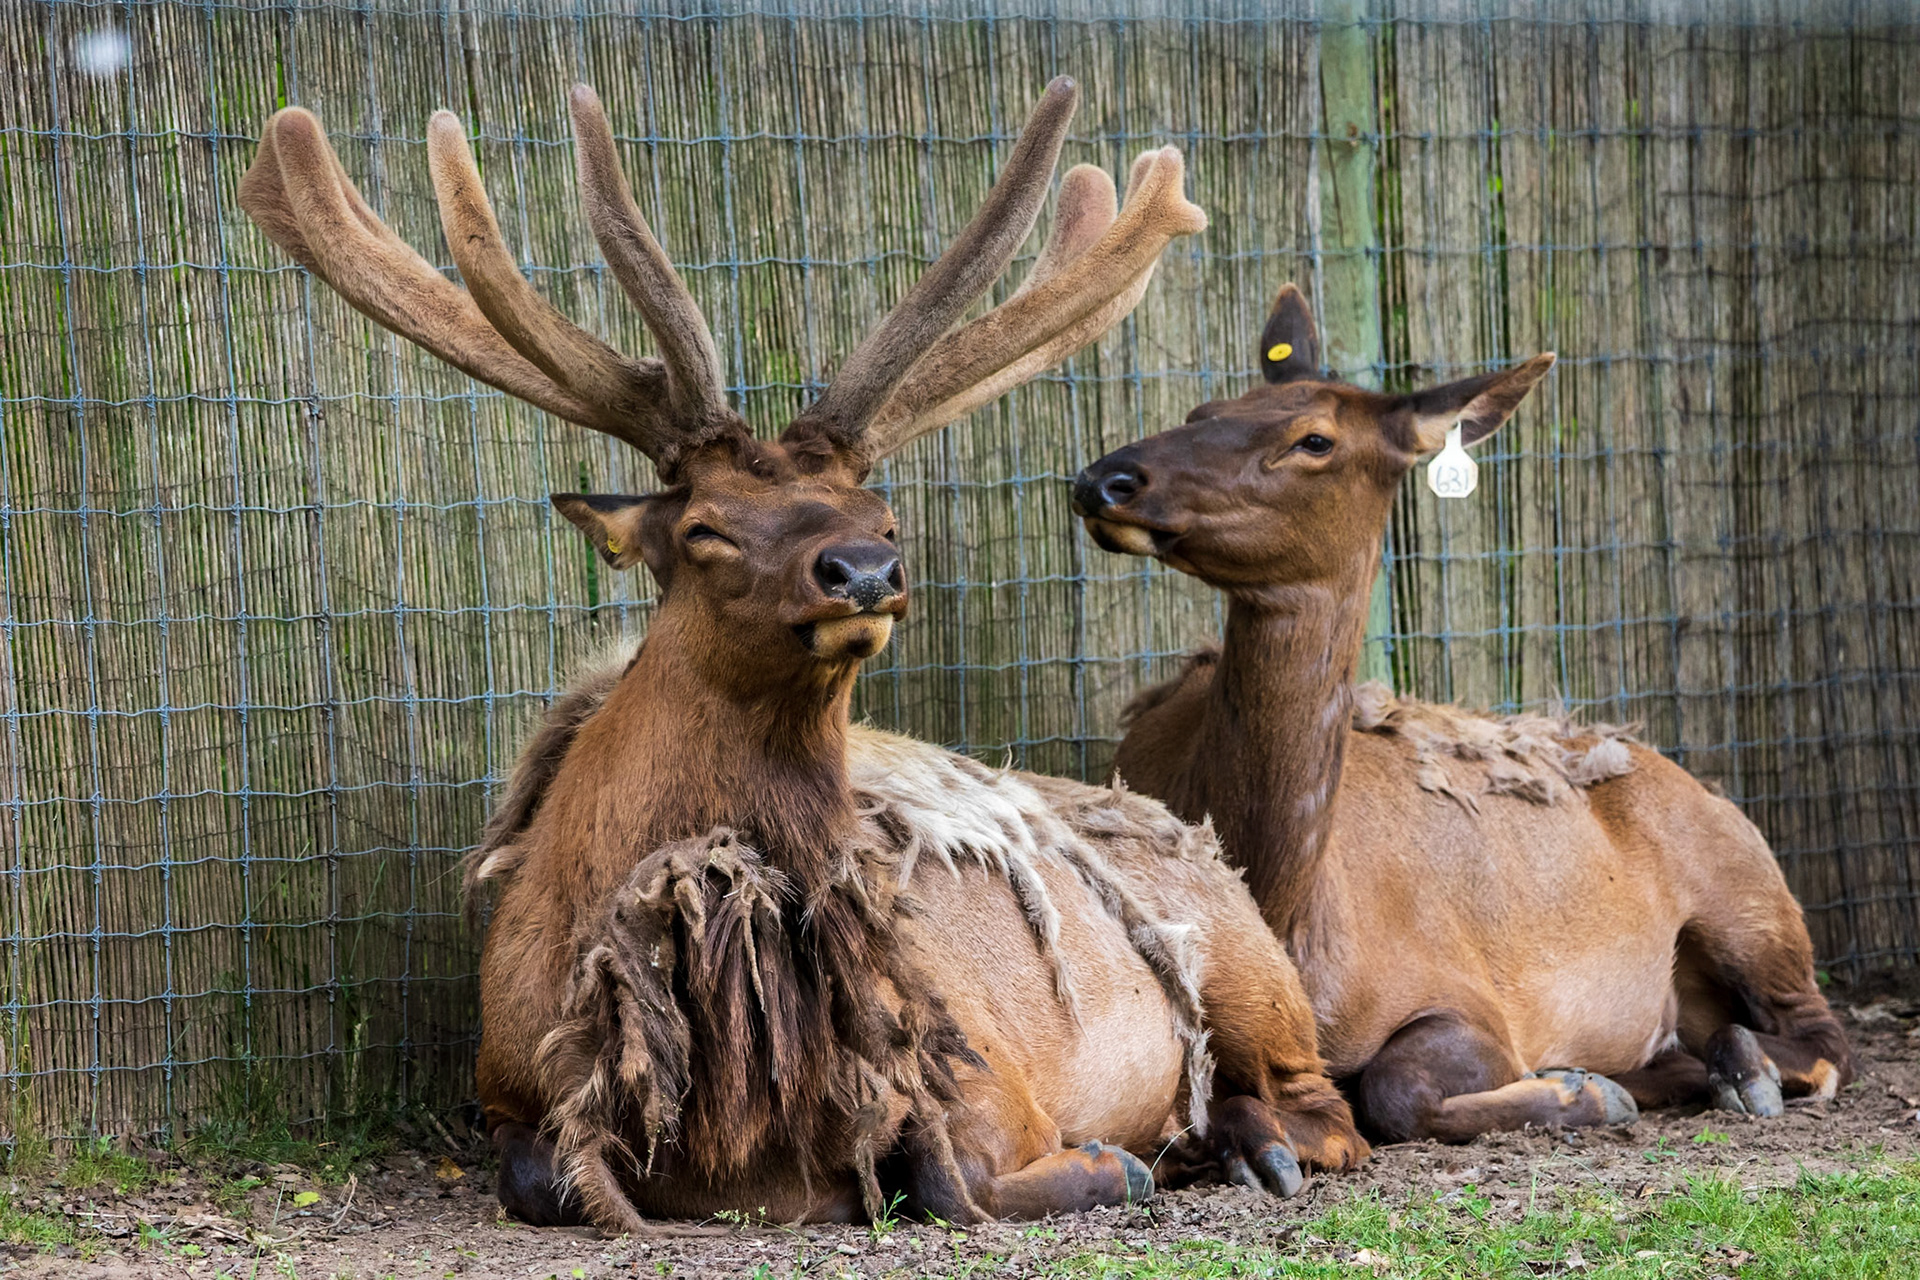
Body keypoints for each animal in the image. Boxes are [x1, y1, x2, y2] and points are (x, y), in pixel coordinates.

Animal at [239, 82, 1366, 1233]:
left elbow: (954, 1177)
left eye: (887, 517)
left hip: (1251, 967)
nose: (864, 570)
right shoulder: (503, 1080)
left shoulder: (970, 1054)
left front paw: (1111, 1163)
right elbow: (539, 1174)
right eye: (705, 528)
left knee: (1334, 1110)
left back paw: (1250, 1147)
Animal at [1070, 282, 1853, 1147]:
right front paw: (1586, 1087)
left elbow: (1395, 1088)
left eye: (1315, 439)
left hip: (1750, 899)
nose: (1106, 478)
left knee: (1822, 1032)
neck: (1294, 920)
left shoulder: (1467, 997)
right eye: (1203, 408)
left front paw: (1579, 1093)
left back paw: (1739, 1070)